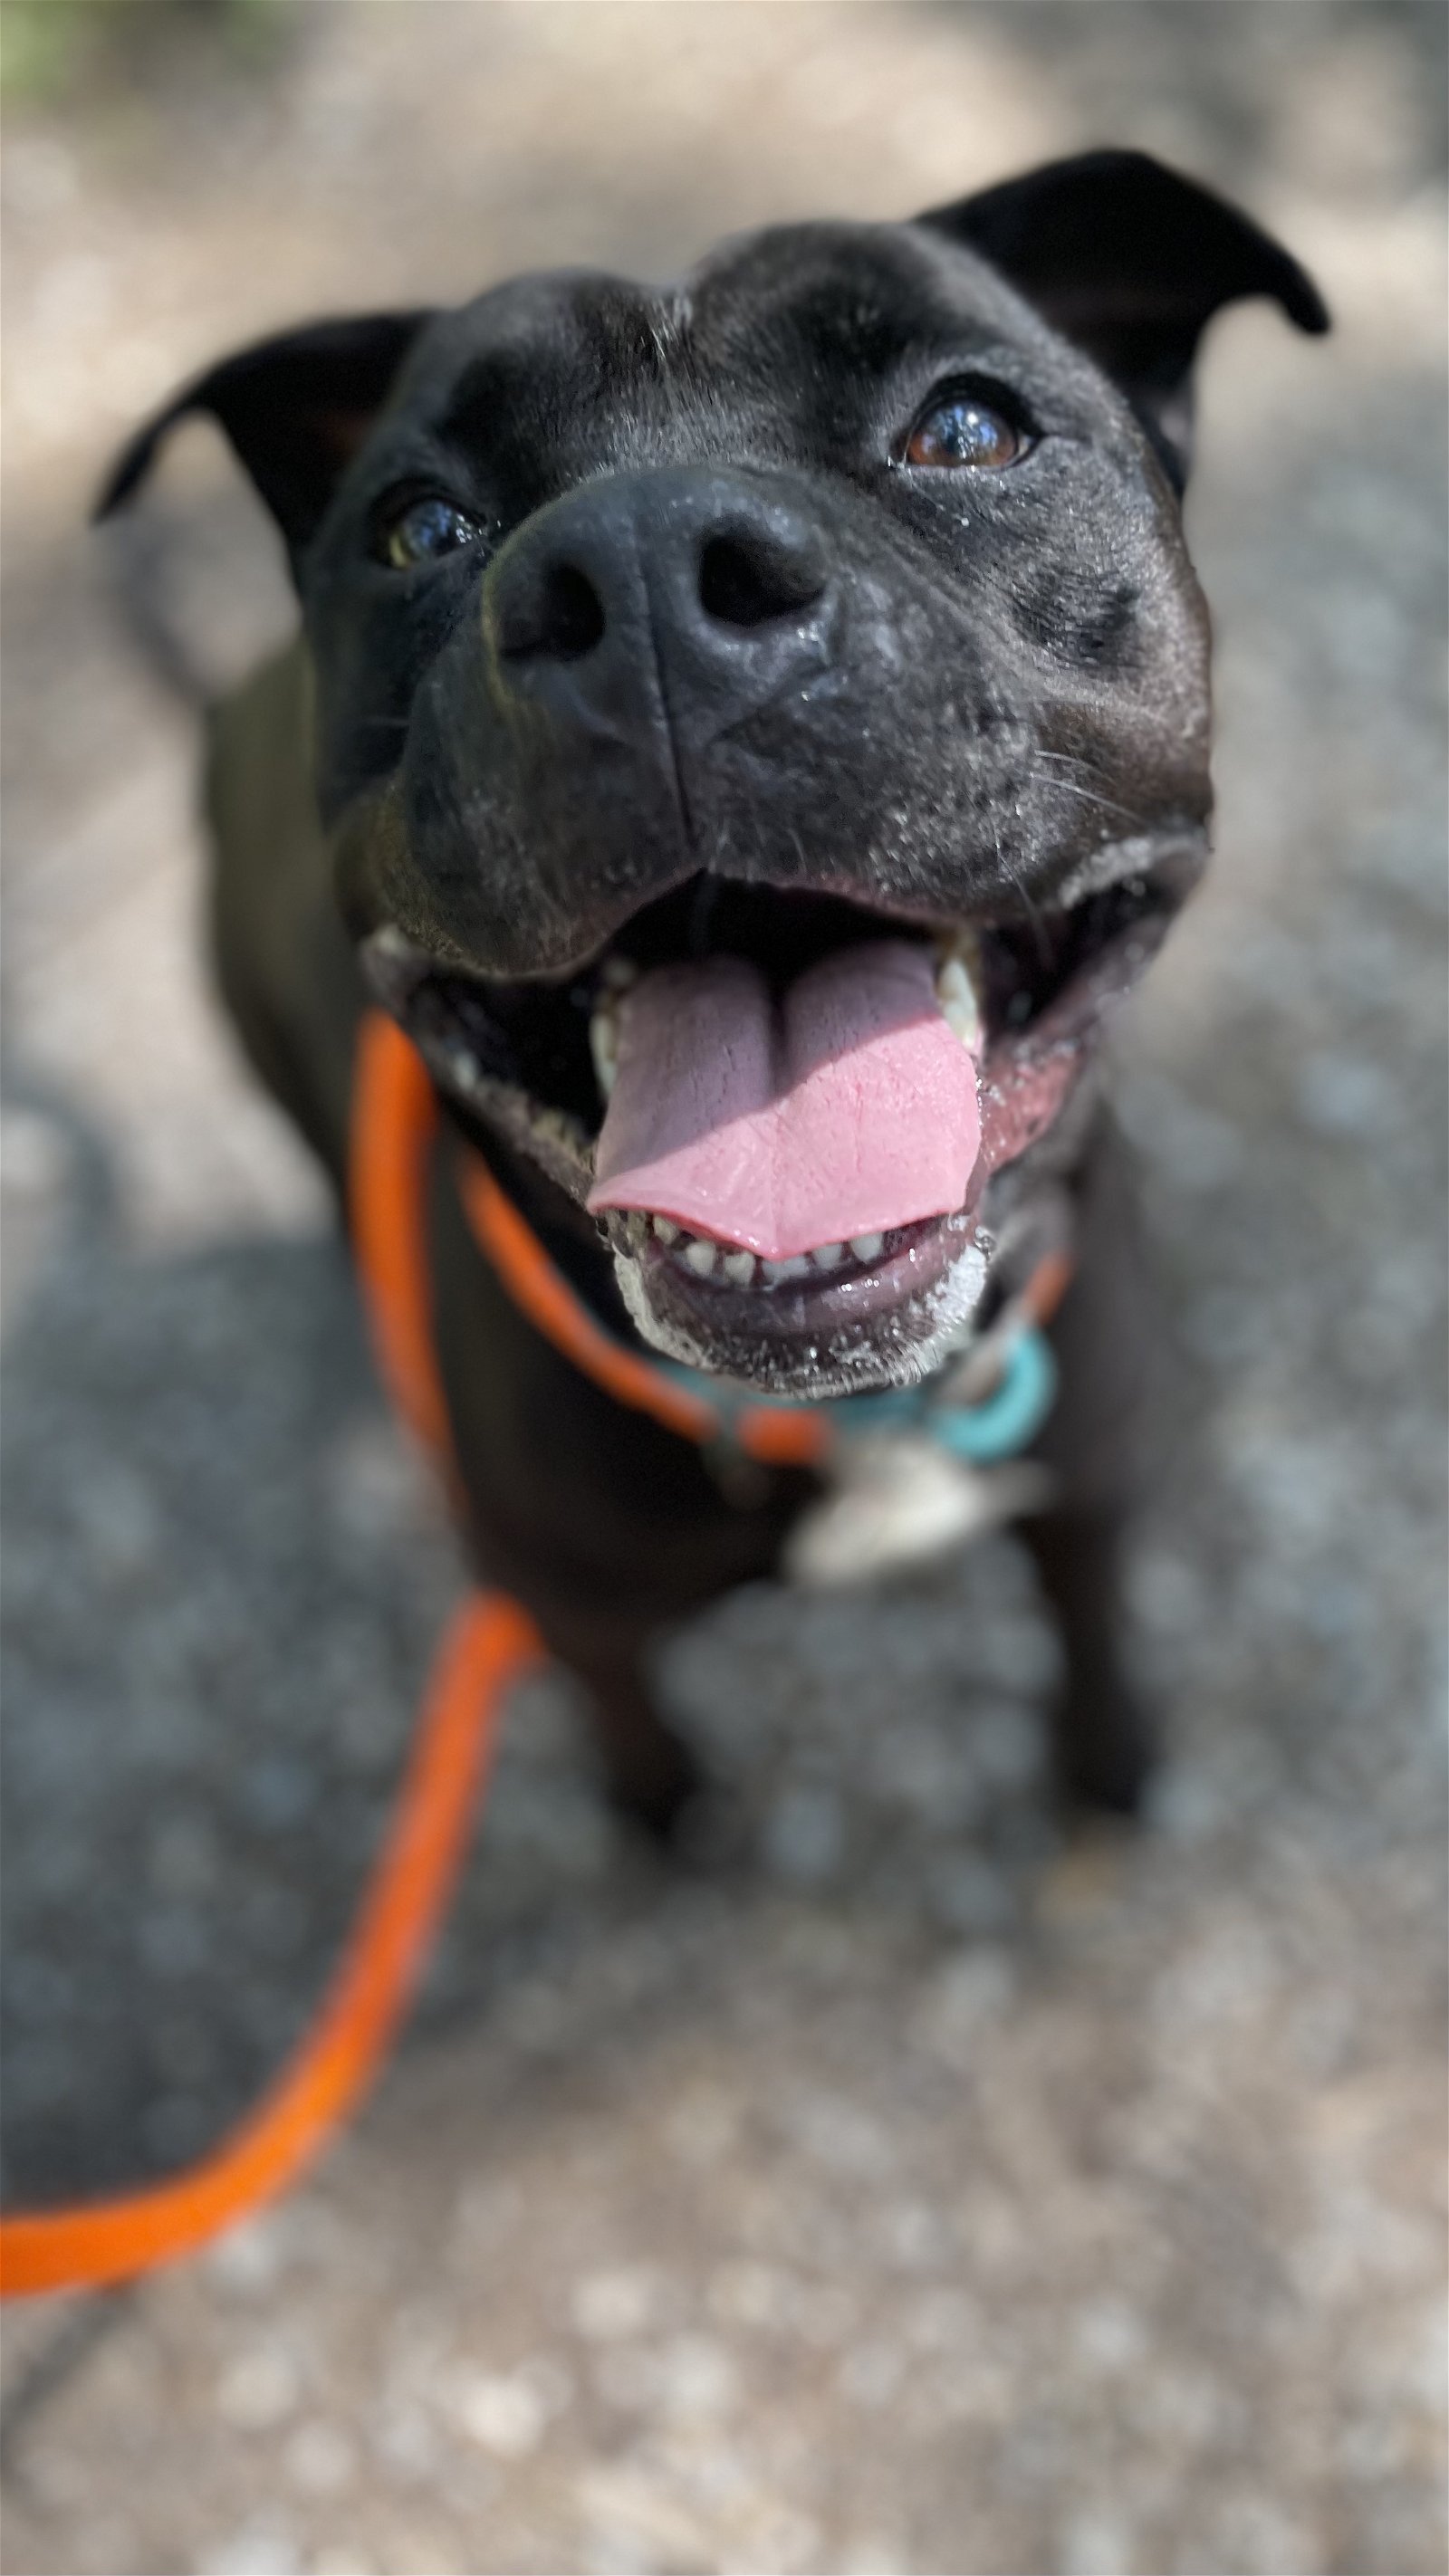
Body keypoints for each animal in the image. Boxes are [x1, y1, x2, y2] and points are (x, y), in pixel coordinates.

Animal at [98, 146, 1319, 1834]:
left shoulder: (1095, 1477)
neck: (857, 1421)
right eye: (420, 527)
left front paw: (1111, 1768)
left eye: (967, 429)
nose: (646, 570)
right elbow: (631, 1720)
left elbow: (1092, 1629)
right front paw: (669, 1816)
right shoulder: (566, 1607)